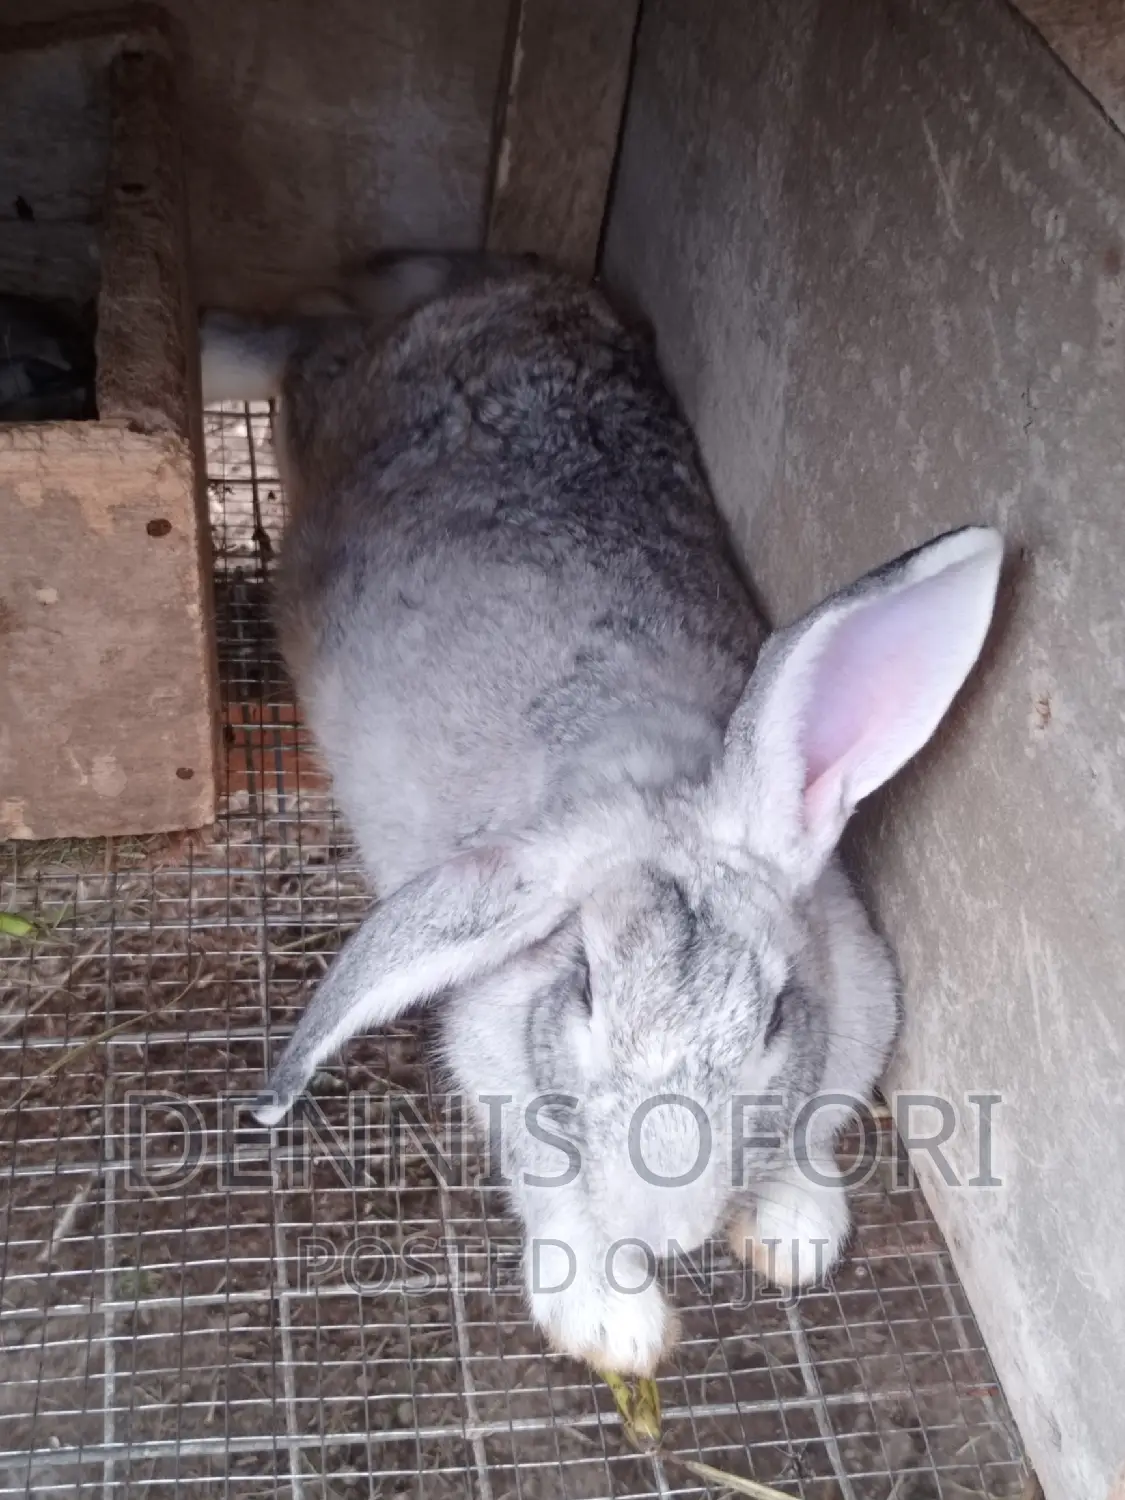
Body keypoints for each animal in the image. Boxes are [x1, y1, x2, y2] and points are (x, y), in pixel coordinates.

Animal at [200, 253, 1002, 1376]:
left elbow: (808, 1136)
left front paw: (796, 1234)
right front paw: (615, 1318)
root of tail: (472, 289)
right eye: (583, 988)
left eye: (775, 1015)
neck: (658, 766)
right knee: (291, 344)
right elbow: (552, 1195)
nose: (663, 1229)